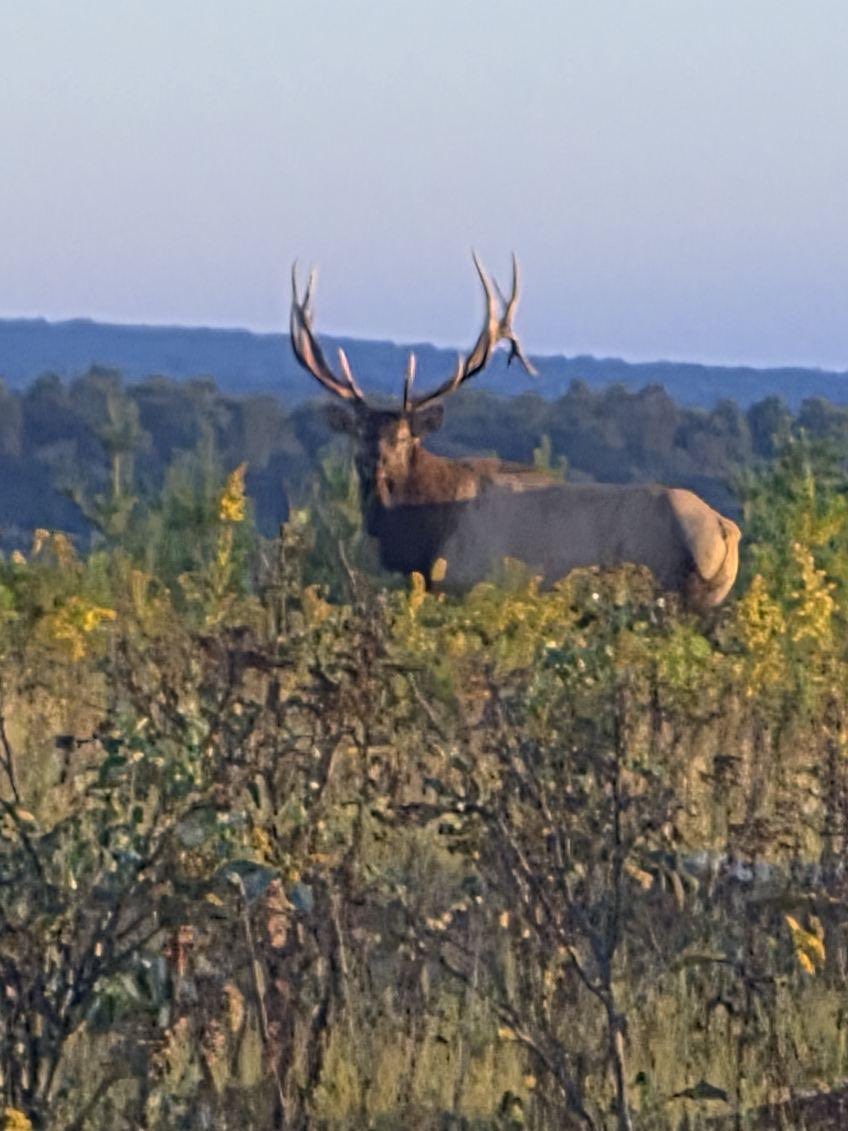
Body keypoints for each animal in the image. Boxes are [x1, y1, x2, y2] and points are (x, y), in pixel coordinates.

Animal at [288, 255, 740, 609]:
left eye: (404, 438)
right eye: (359, 433)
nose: (375, 464)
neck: (424, 536)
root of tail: (725, 530)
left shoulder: (473, 581)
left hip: (679, 592)